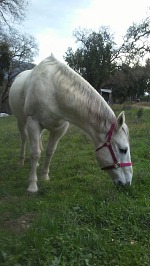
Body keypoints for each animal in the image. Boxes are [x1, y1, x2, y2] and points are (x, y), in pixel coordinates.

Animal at [8, 54, 132, 192]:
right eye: (123, 150)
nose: (128, 182)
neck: (54, 90)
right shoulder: (33, 123)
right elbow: (35, 153)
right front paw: (32, 185)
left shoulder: (60, 128)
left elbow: (50, 151)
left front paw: (44, 176)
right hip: (21, 121)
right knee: (24, 139)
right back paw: (21, 161)